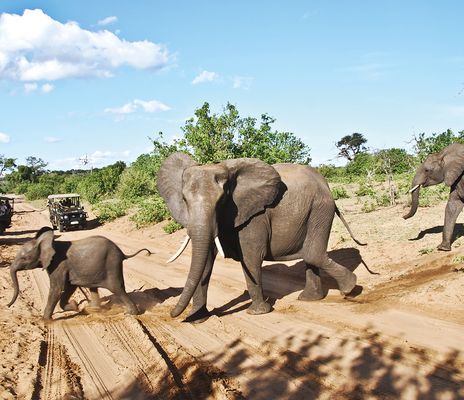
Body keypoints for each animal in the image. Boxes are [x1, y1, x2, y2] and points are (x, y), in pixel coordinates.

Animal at [7, 227, 152, 320]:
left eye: (24, 258)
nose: (7, 305)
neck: (46, 242)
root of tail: (122, 252)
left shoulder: (59, 265)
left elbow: (57, 289)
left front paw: (44, 320)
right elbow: (69, 286)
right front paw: (77, 307)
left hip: (112, 264)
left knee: (117, 288)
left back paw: (130, 314)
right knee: (95, 287)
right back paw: (93, 309)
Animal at [158, 152, 364, 320]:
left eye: (222, 200)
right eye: (184, 200)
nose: (172, 315)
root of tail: (326, 184)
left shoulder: (254, 216)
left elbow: (250, 257)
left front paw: (258, 313)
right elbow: (206, 261)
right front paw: (197, 318)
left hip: (320, 208)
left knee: (313, 253)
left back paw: (349, 288)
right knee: (310, 255)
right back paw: (310, 299)